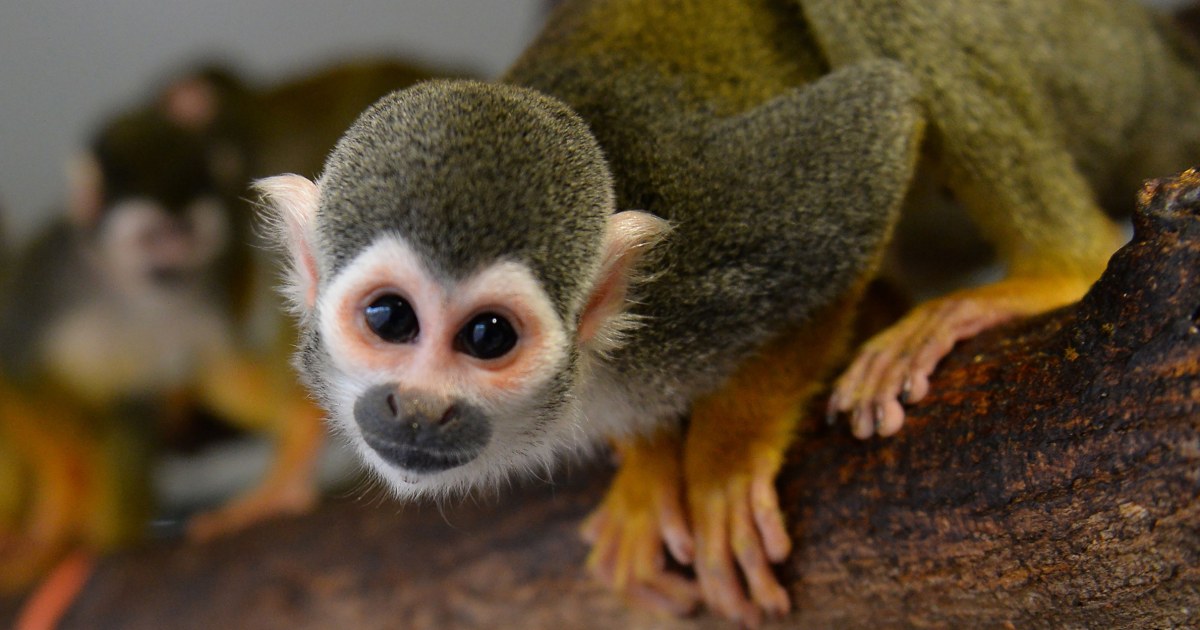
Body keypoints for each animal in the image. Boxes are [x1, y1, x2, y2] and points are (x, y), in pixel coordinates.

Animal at [257, 0, 1200, 624]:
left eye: (488, 335)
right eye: (390, 320)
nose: (418, 408)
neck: (600, 362)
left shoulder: (706, 263)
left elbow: (877, 126)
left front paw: (722, 456)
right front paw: (647, 466)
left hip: (1101, 70)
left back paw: (1052, 268)